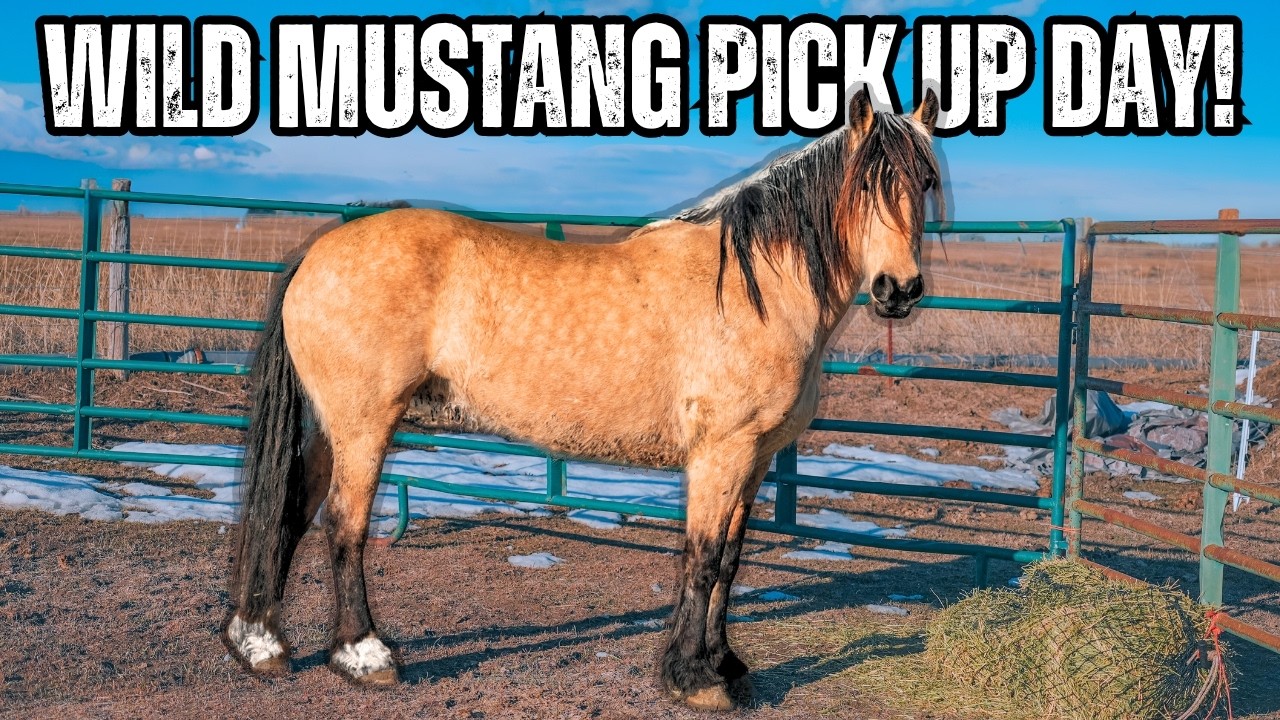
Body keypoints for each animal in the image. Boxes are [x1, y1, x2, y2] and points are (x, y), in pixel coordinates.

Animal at [223, 88, 941, 712]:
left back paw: (260, 644)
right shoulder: (722, 453)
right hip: (363, 424)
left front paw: (725, 664)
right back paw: (363, 655)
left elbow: (732, 560)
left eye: (926, 182)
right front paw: (691, 677)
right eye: (867, 184)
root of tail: (316, 253)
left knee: (292, 511)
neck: (753, 286)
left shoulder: (757, 457)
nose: (898, 290)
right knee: (344, 523)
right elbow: (703, 559)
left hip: (328, 426)